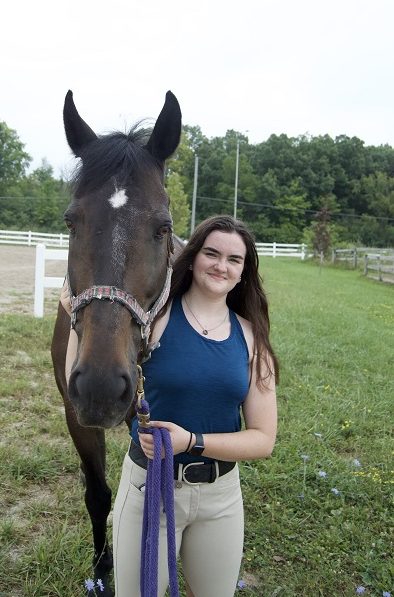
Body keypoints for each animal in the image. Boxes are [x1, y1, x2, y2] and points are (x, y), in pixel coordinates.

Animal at [49, 89, 183, 596]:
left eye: (163, 227)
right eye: (71, 222)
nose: (102, 387)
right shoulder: (76, 414)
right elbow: (99, 494)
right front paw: (102, 568)